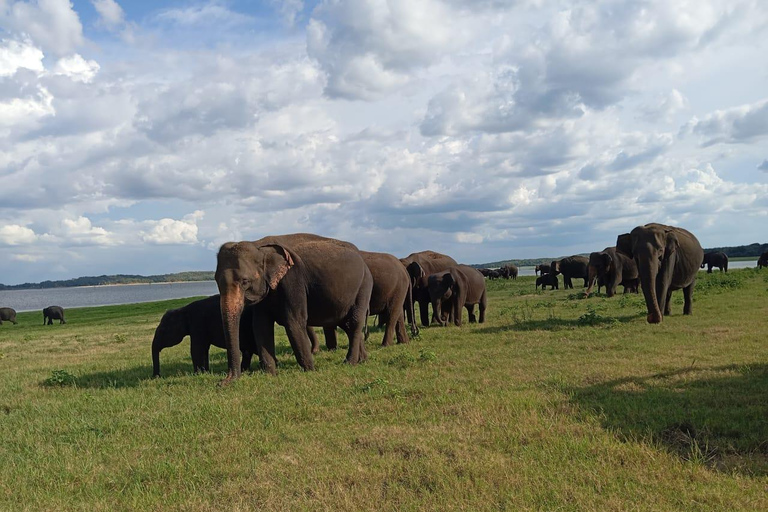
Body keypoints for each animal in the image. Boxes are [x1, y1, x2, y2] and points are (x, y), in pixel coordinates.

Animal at [214, 234, 374, 382]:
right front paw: (270, 374)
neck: (259, 245)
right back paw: (363, 360)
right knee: (346, 324)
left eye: (245, 281)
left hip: (364, 286)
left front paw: (310, 371)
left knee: (354, 322)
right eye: (215, 280)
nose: (223, 382)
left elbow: (294, 322)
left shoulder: (293, 279)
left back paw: (349, 363)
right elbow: (261, 326)